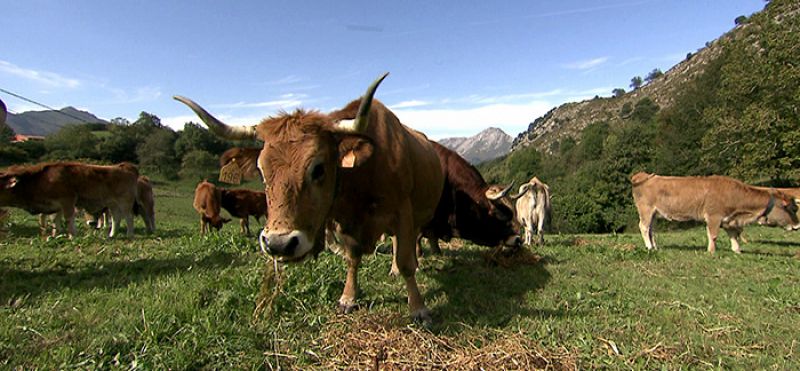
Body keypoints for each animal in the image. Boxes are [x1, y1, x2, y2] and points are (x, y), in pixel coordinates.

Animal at [0, 163, 138, 238]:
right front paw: (56, 234)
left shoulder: (67, 200)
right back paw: (112, 235)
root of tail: (126, 167)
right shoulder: (56, 205)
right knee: (116, 218)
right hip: (112, 204)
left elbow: (68, 219)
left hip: (125, 202)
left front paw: (72, 236)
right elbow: (55, 220)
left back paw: (129, 235)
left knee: (129, 217)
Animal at [632, 173, 800, 254]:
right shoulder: (714, 216)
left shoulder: (729, 219)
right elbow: (713, 235)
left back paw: (655, 247)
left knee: (651, 230)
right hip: (646, 209)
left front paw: (737, 250)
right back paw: (649, 247)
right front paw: (711, 251)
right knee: (644, 227)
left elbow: (733, 235)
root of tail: (645, 176)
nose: (797, 225)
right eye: (792, 208)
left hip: (654, 213)